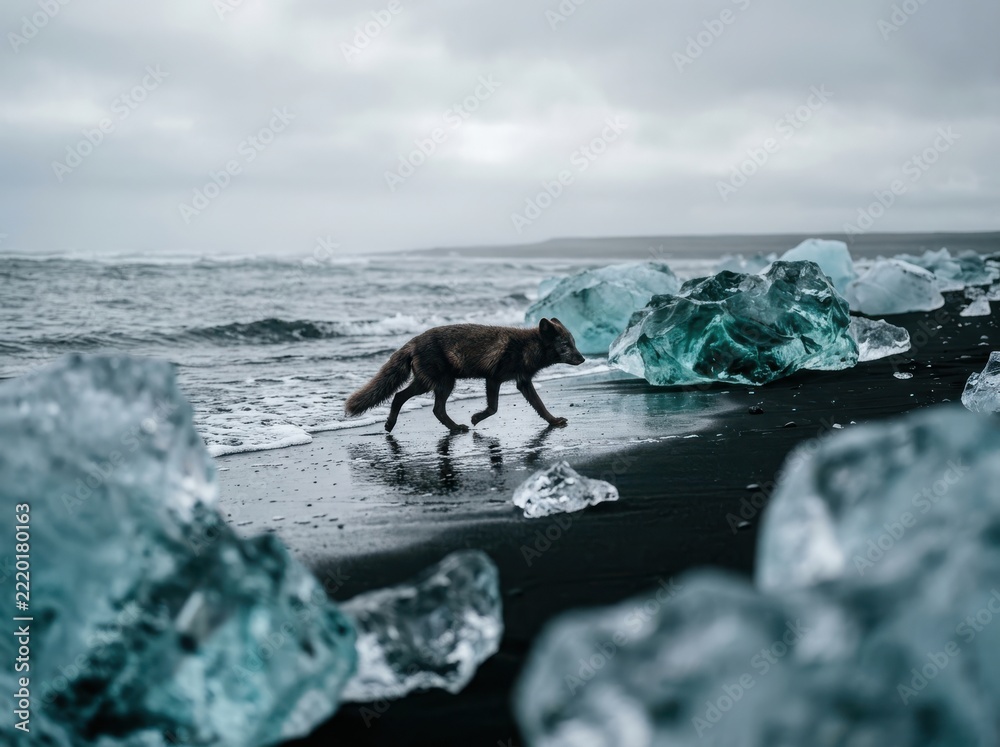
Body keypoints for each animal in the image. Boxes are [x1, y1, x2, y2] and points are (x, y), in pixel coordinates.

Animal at [344, 318, 586, 433]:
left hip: (431, 383)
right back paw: (456, 428)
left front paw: (554, 421)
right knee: (424, 404)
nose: (583, 359)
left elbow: (540, 406)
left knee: (407, 399)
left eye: (573, 343)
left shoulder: (523, 382)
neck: (527, 346)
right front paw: (476, 418)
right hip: (441, 383)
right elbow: (493, 408)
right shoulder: (494, 378)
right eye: (566, 345)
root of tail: (413, 341)